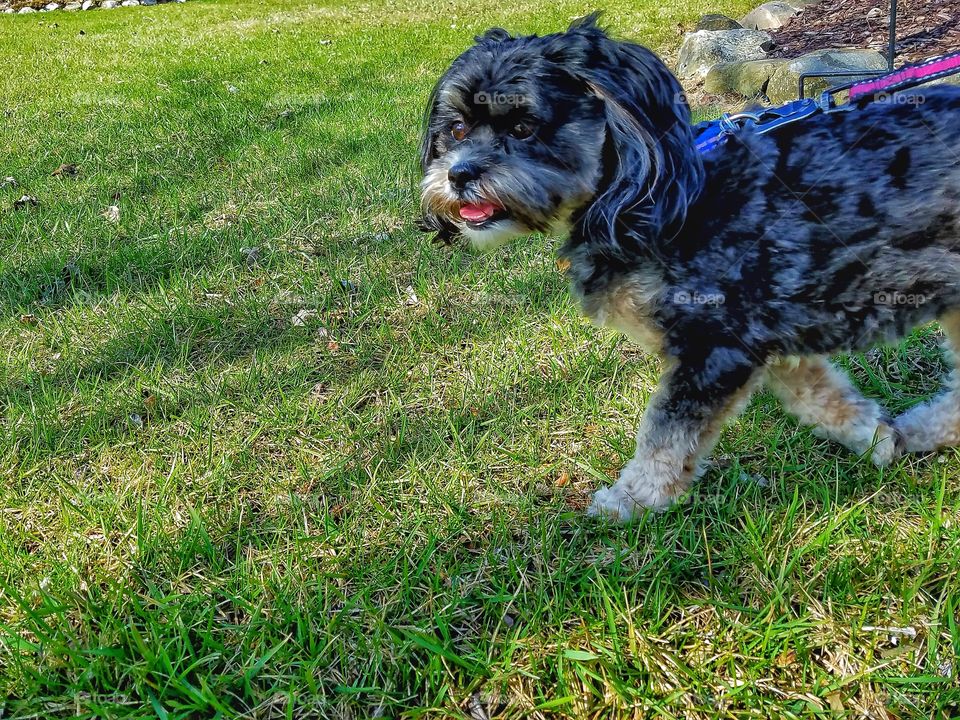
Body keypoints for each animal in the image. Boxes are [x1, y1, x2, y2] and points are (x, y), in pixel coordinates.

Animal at [418, 14, 960, 520]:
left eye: (523, 128)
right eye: (457, 129)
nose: (459, 174)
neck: (651, 200)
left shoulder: (713, 344)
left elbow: (665, 435)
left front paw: (632, 499)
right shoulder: (767, 335)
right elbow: (819, 394)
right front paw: (876, 436)